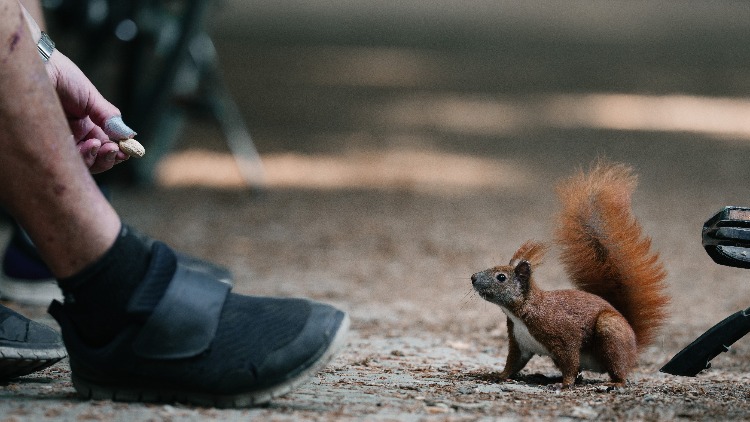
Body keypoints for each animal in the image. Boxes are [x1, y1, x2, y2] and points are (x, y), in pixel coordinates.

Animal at [470, 161, 669, 387]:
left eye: (501, 278)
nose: (473, 278)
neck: (521, 313)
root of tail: (633, 342)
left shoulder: (563, 335)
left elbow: (570, 359)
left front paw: (564, 383)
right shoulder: (519, 343)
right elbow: (513, 363)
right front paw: (498, 375)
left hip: (610, 331)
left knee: (618, 369)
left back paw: (614, 383)